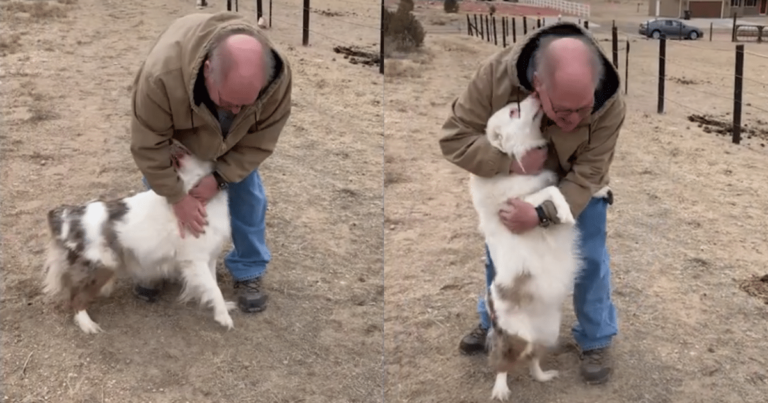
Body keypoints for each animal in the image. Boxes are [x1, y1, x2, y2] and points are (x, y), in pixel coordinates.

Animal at [41, 141, 234, 334]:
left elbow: (213, 284)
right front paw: (224, 318)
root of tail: (64, 216)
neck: (192, 188)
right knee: (75, 298)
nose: (171, 142)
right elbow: (214, 289)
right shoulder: (195, 260)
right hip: (101, 266)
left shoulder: (209, 257)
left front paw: (221, 307)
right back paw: (87, 324)